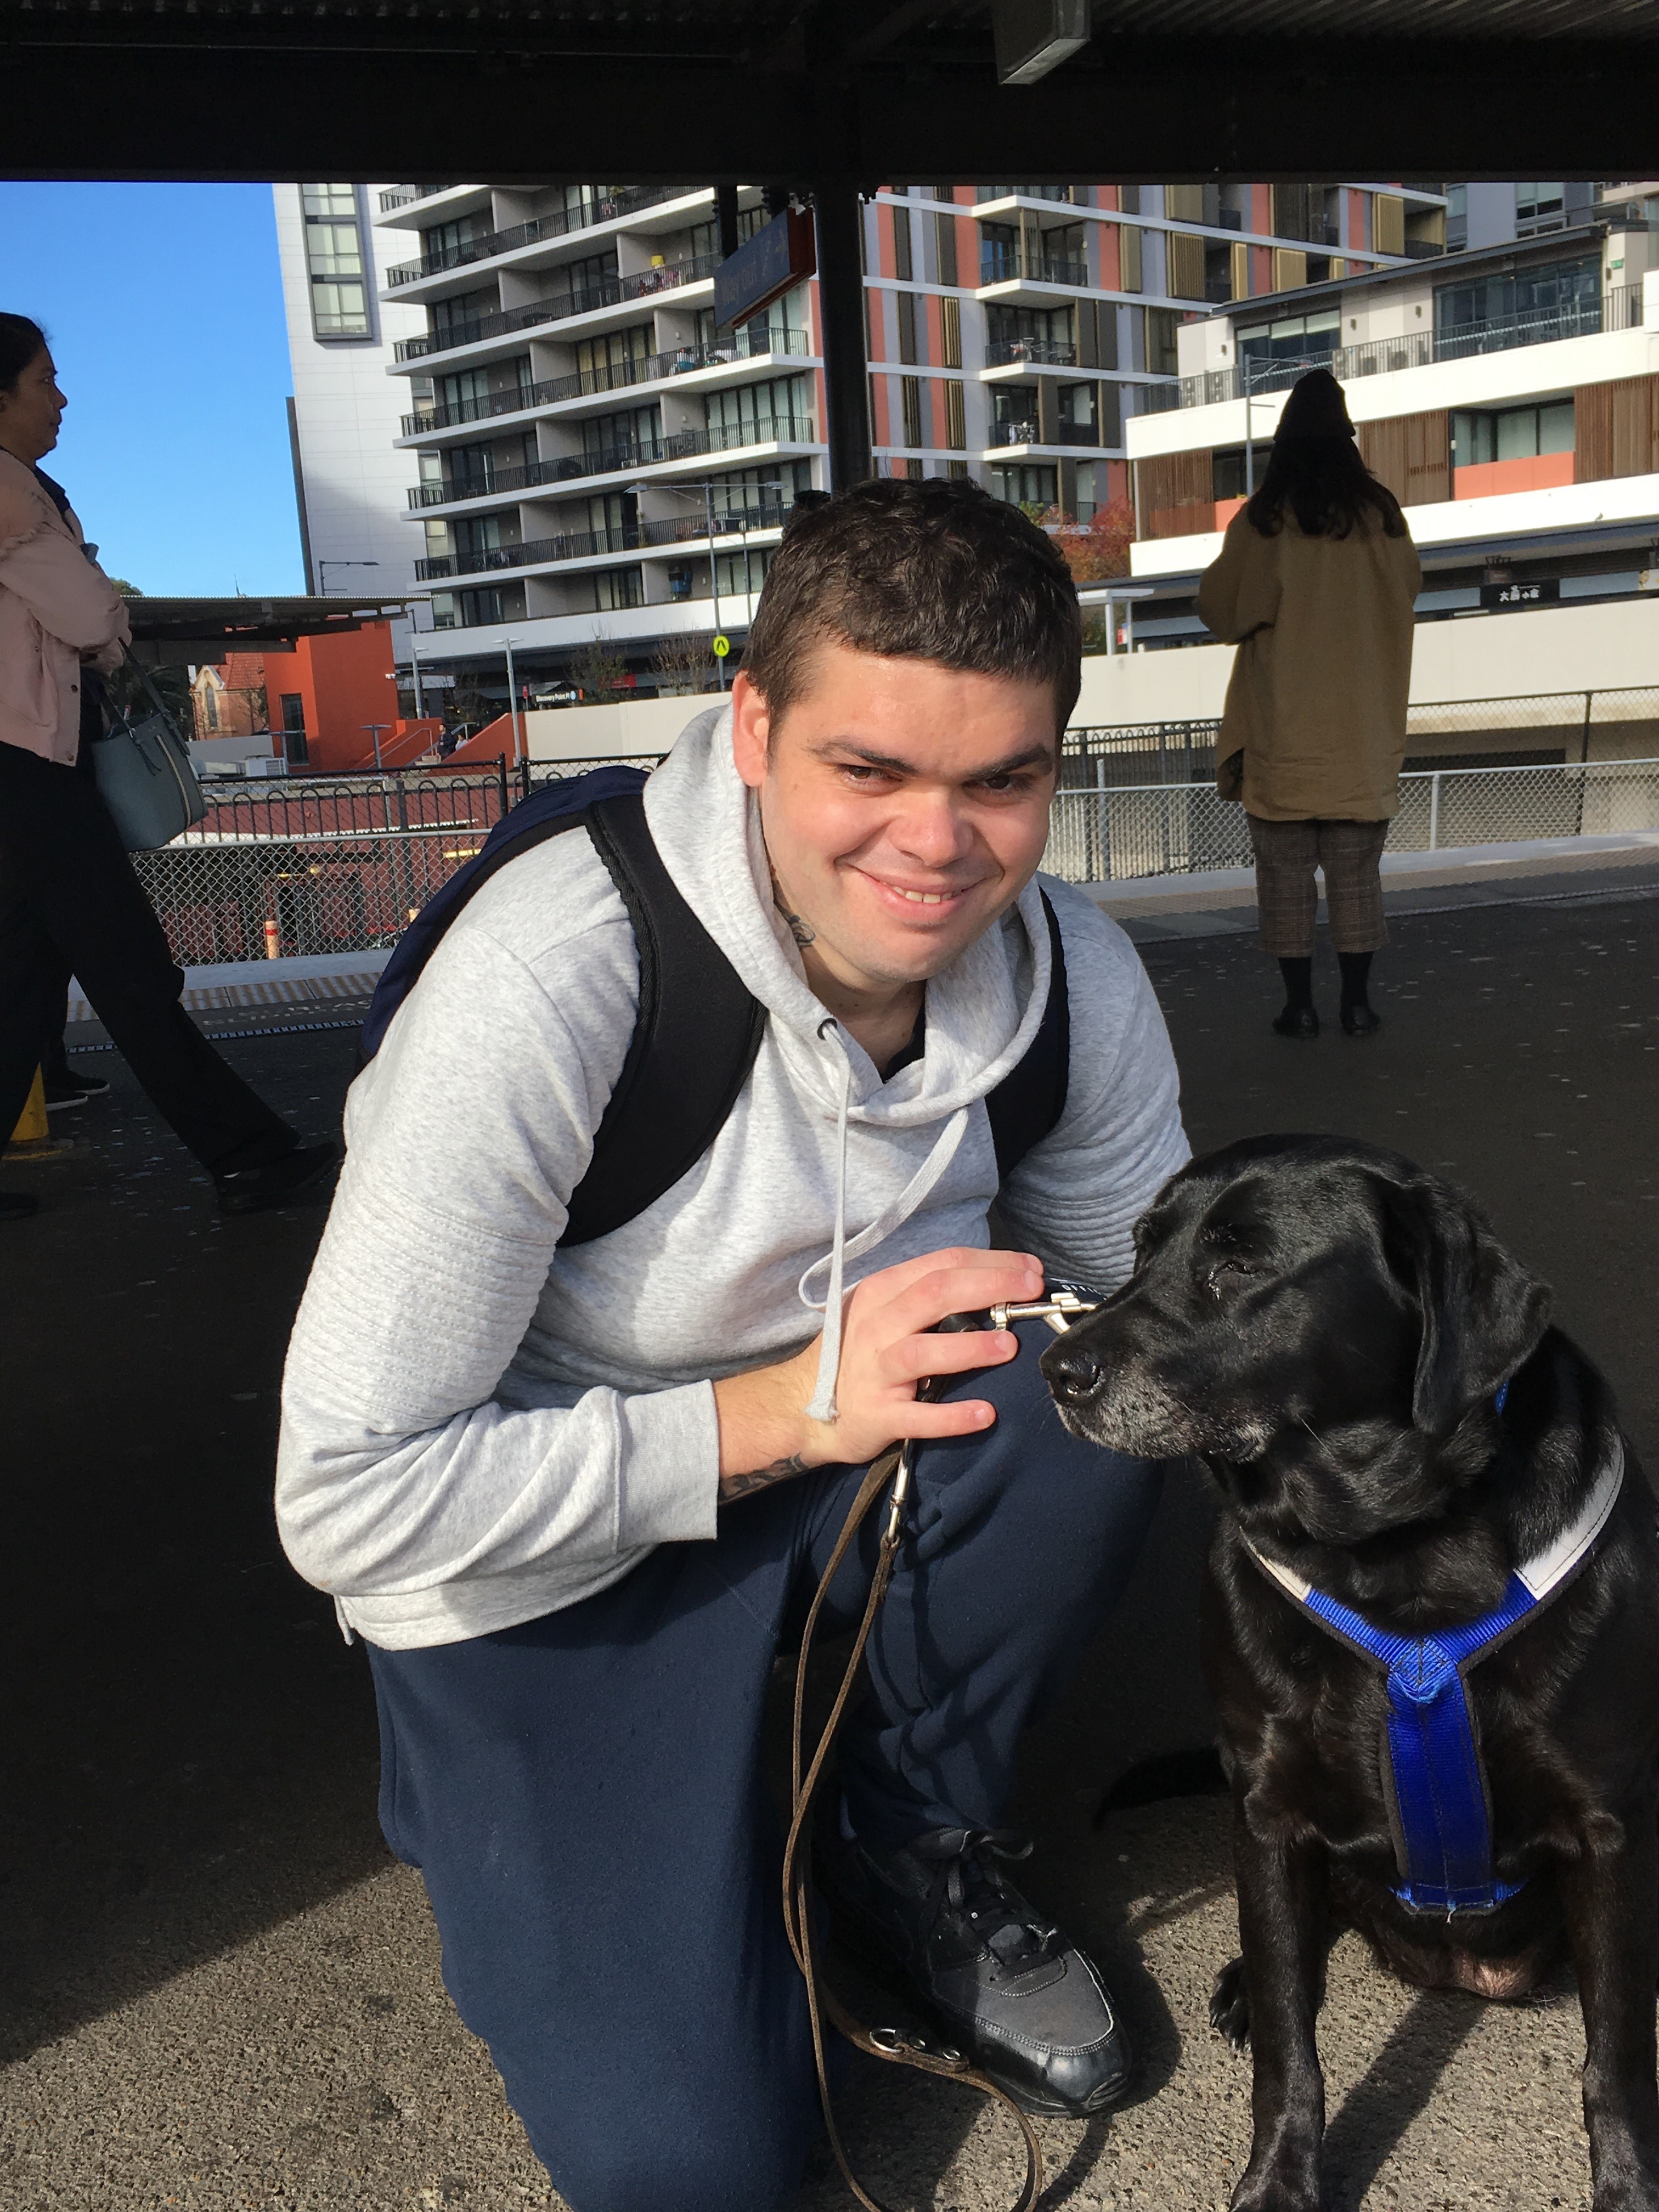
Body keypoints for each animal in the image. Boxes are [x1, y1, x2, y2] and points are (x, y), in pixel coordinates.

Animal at [1044, 1141, 1659, 2212]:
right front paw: (1277, 2181)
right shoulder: (1266, 1808)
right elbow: (1290, 2048)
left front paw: (1626, 2189)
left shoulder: (1607, 1826)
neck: (1388, 1553)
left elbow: (1613, 2056)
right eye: (1140, 1248)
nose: (1054, 1368)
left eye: (1240, 1264)